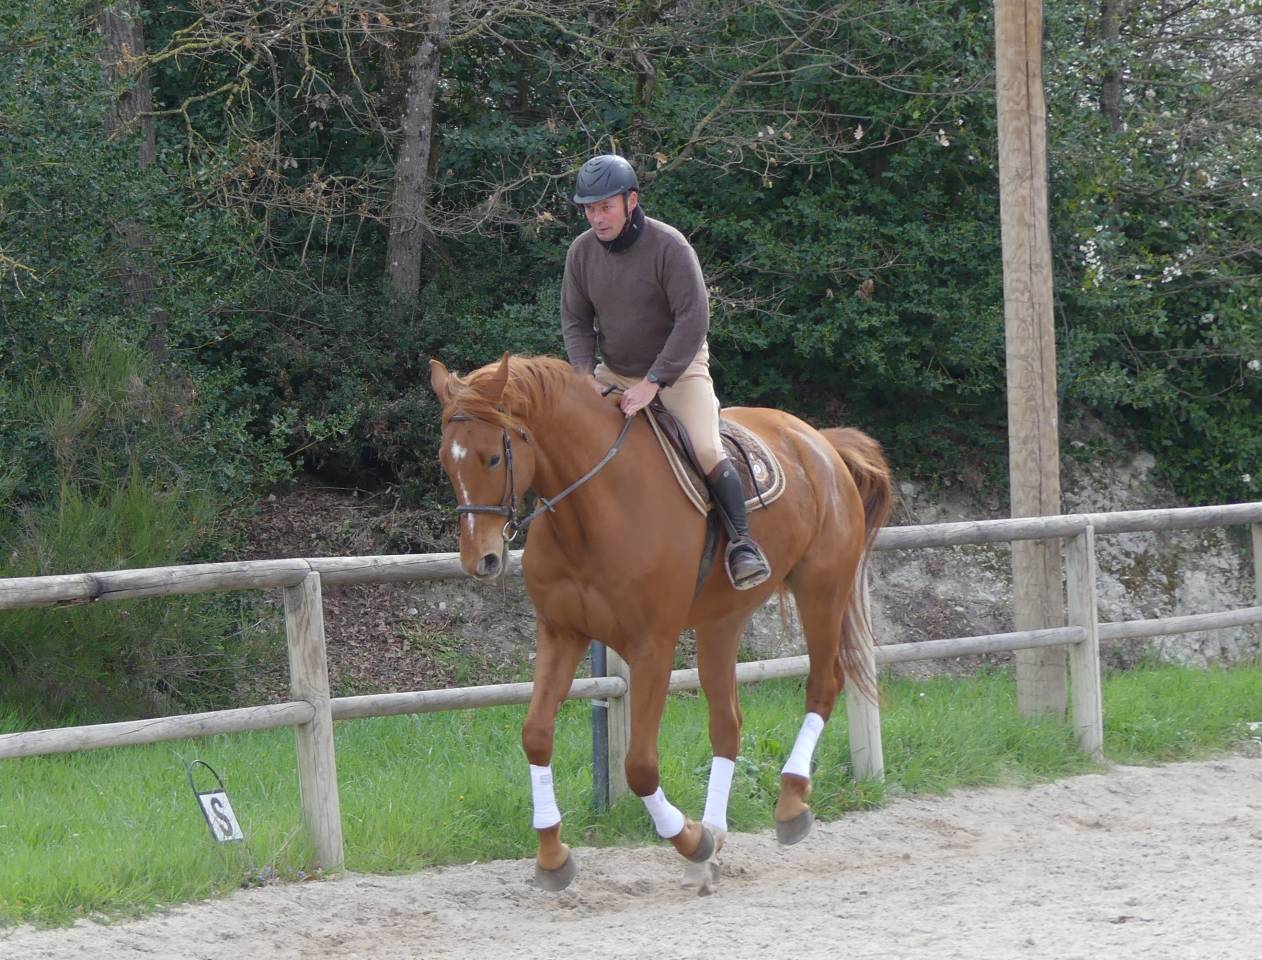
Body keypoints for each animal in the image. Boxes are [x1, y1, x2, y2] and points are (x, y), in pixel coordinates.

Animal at [428, 353, 892, 891]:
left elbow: (640, 768)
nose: (478, 559)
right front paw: (552, 855)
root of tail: (819, 441)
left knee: (823, 685)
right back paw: (717, 831)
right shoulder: (561, 633)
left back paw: (789, 805)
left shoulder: (652, 647)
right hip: (722, 622)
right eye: (446, 461)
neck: (592, 511)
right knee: (727, 723)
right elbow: (536, 735)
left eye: (492, 458)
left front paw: (690, 841)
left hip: (822, 591)